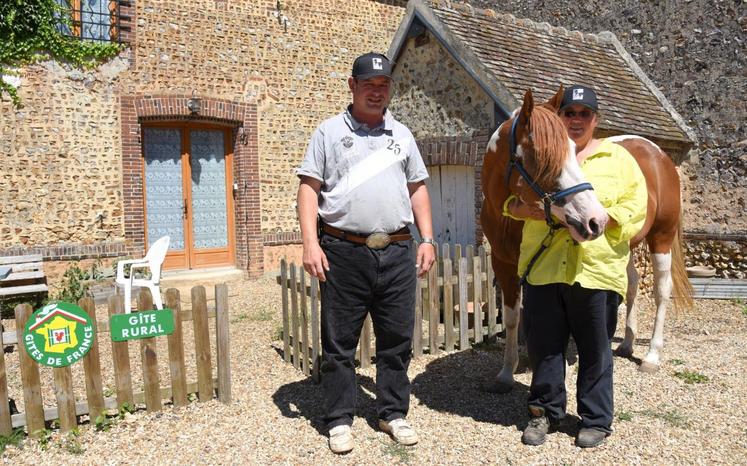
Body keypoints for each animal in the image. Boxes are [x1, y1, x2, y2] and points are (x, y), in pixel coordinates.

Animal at [482, 86, 692, 394]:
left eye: (571, 149)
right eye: (542, 156)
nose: (595, 219)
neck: (507, 215)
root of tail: (657, 153)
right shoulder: (504, 264)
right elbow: (512, 318)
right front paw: (507, 373)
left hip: (661, 238)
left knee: (661, 291)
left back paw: (652, 356)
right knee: (631, 283)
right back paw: (627, 344)